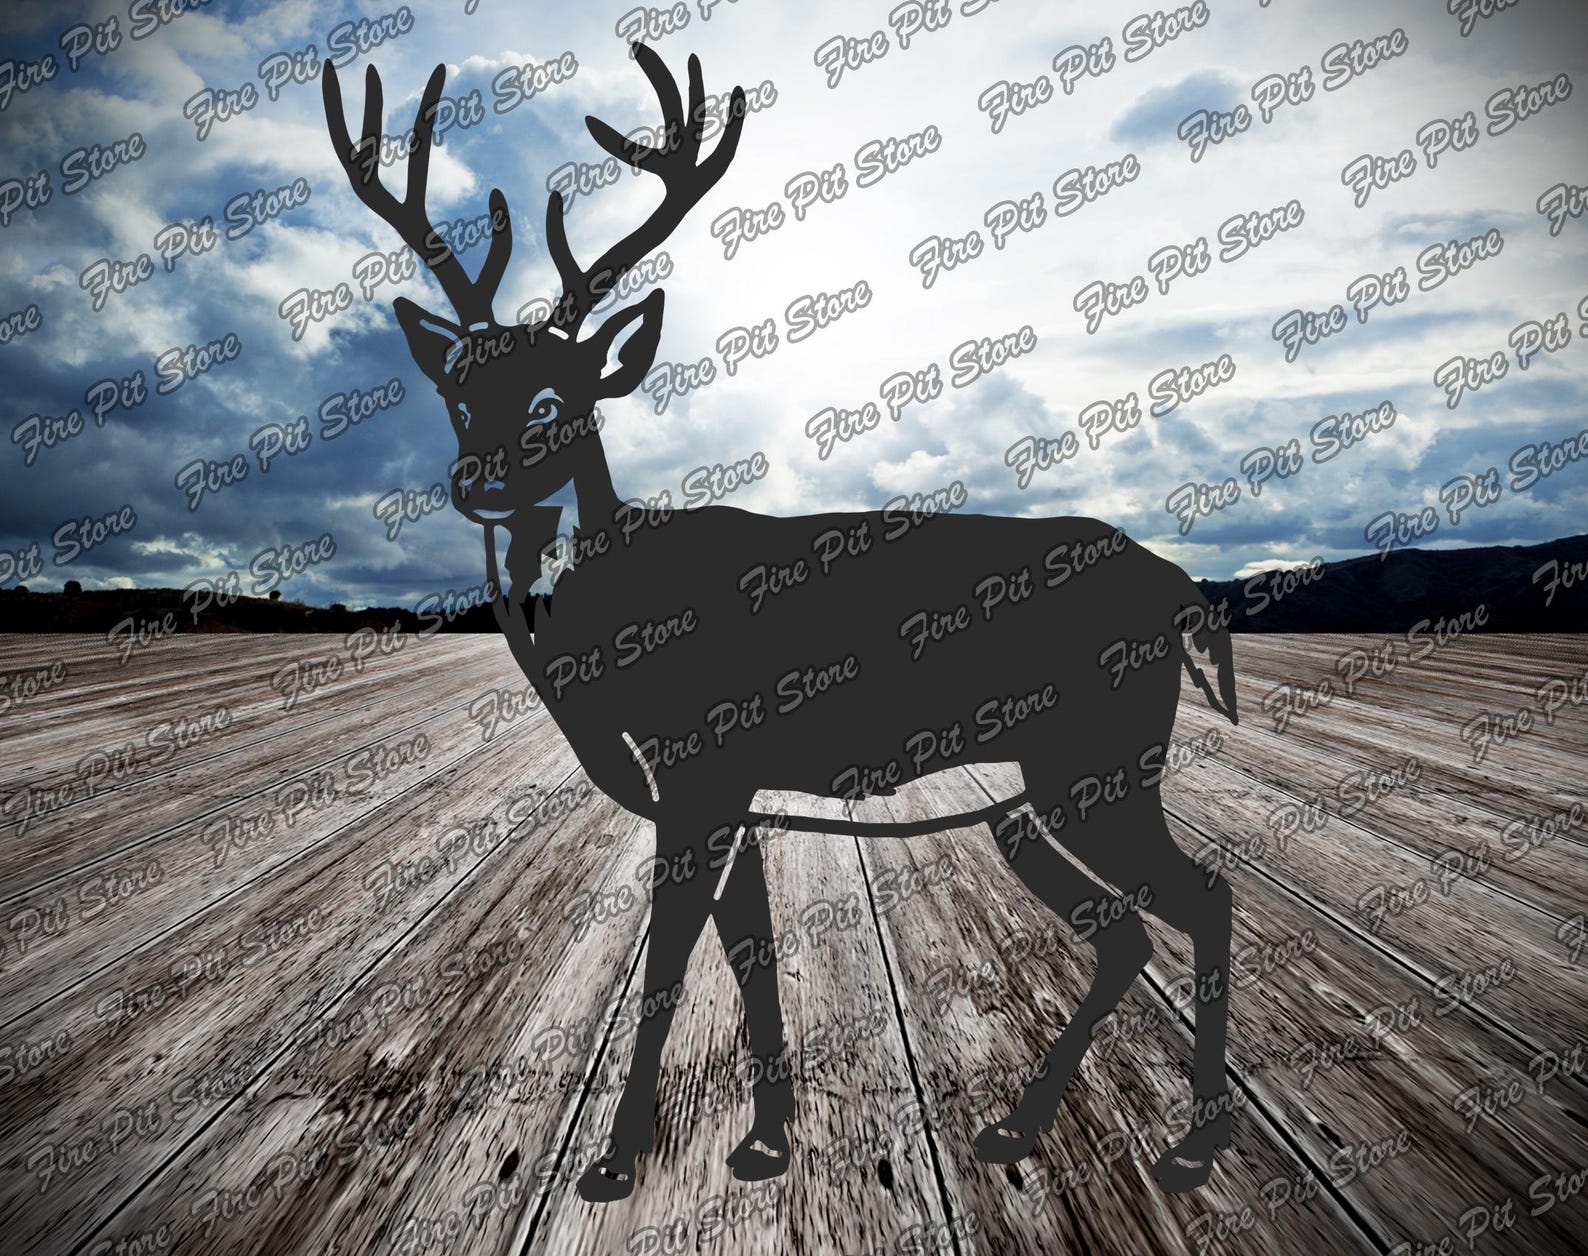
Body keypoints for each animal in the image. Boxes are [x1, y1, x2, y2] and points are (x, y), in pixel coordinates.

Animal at [322, 43, 1241, 1204]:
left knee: (1204, 895)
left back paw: (1192, 1143)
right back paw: (1017, 1124)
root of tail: (1181, 587)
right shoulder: (728, 789)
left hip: (1102, 756)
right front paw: (763, 1138)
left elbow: (671, 960)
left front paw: (614, 1158)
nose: (480, 479)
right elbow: (747, 951)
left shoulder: (704, 767)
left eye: (557, 398)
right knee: (1126, 931)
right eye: (456, 391)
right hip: (1043, 789)